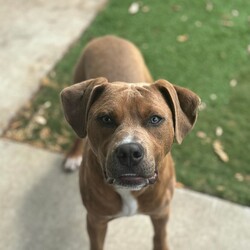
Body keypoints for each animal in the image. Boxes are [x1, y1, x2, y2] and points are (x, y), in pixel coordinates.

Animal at [60, 35, 199, 250]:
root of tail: (109, 37)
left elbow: (160, 238)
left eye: (155, 119)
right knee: (78, 133)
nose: (129, 152)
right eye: (106, 119)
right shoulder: (96, 220)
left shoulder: (161, 213)